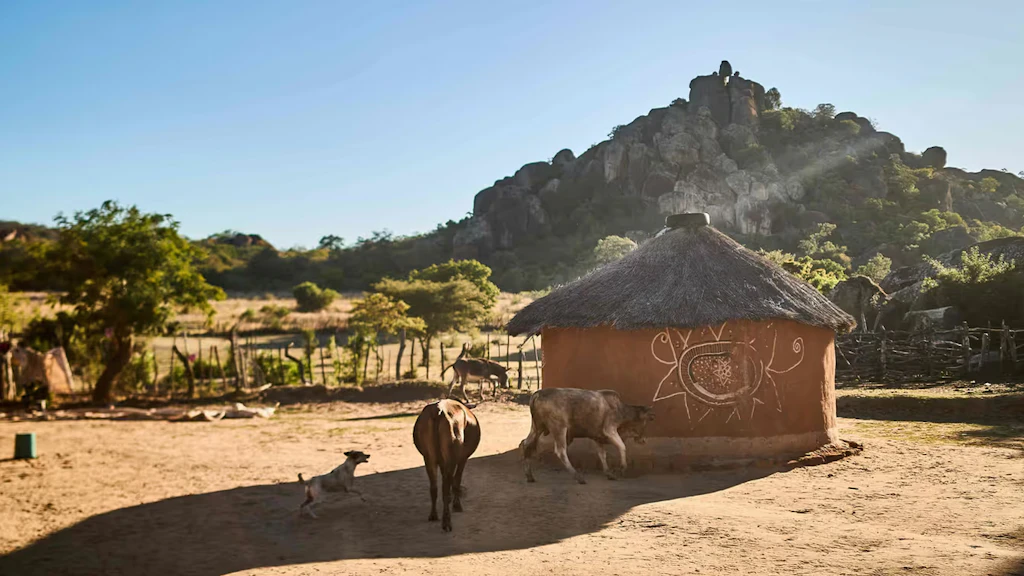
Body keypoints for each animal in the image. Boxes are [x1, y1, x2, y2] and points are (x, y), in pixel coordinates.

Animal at [412, 399, 481, 532]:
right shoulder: (462, 459)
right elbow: (457, 481)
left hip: (429, 459)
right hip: (451, 459)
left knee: (434, 488)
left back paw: (434, 515)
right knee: (446, 488)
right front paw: (457, 505)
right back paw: (447, 522)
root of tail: (439, 410)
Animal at [520, 388, 655, 485]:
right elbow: (622, 447)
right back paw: (578, 477)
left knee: (526, 444)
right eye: (645, 421)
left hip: (537, 427)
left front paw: (609, 473)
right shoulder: (609, 429)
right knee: (560, 451)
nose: (643, 440)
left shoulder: (597, 437)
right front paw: (621, 469)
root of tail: (538, 394)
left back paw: (529, 476)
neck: (621, 410)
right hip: (559, 427)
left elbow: (602, 454)